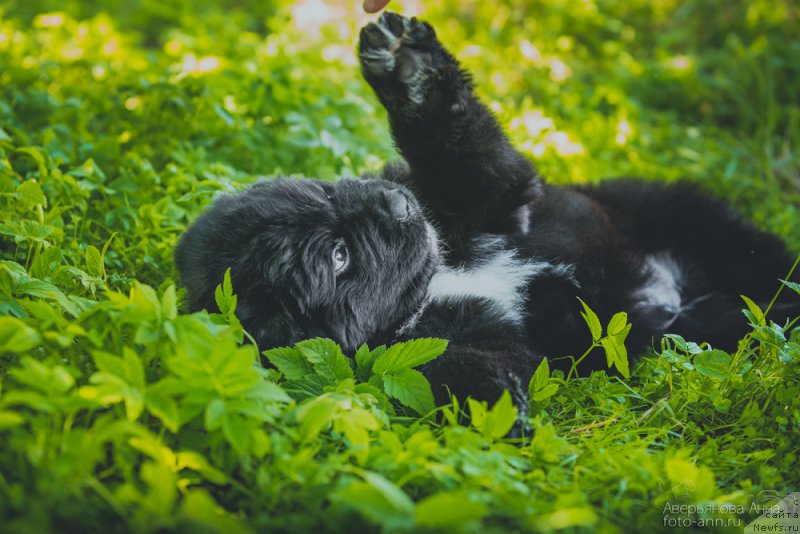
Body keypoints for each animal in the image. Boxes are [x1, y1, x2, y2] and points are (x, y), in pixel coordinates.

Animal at [177, 13, 800, 410]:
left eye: (328, 194)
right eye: (338, 257)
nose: (392, 200)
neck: (438, 273)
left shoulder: (481, 201)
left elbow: (456, 145)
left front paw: (409, 71)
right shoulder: (460, 335)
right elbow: (465, 366)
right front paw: (502, 405)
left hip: (682, 216)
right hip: (704, 329)